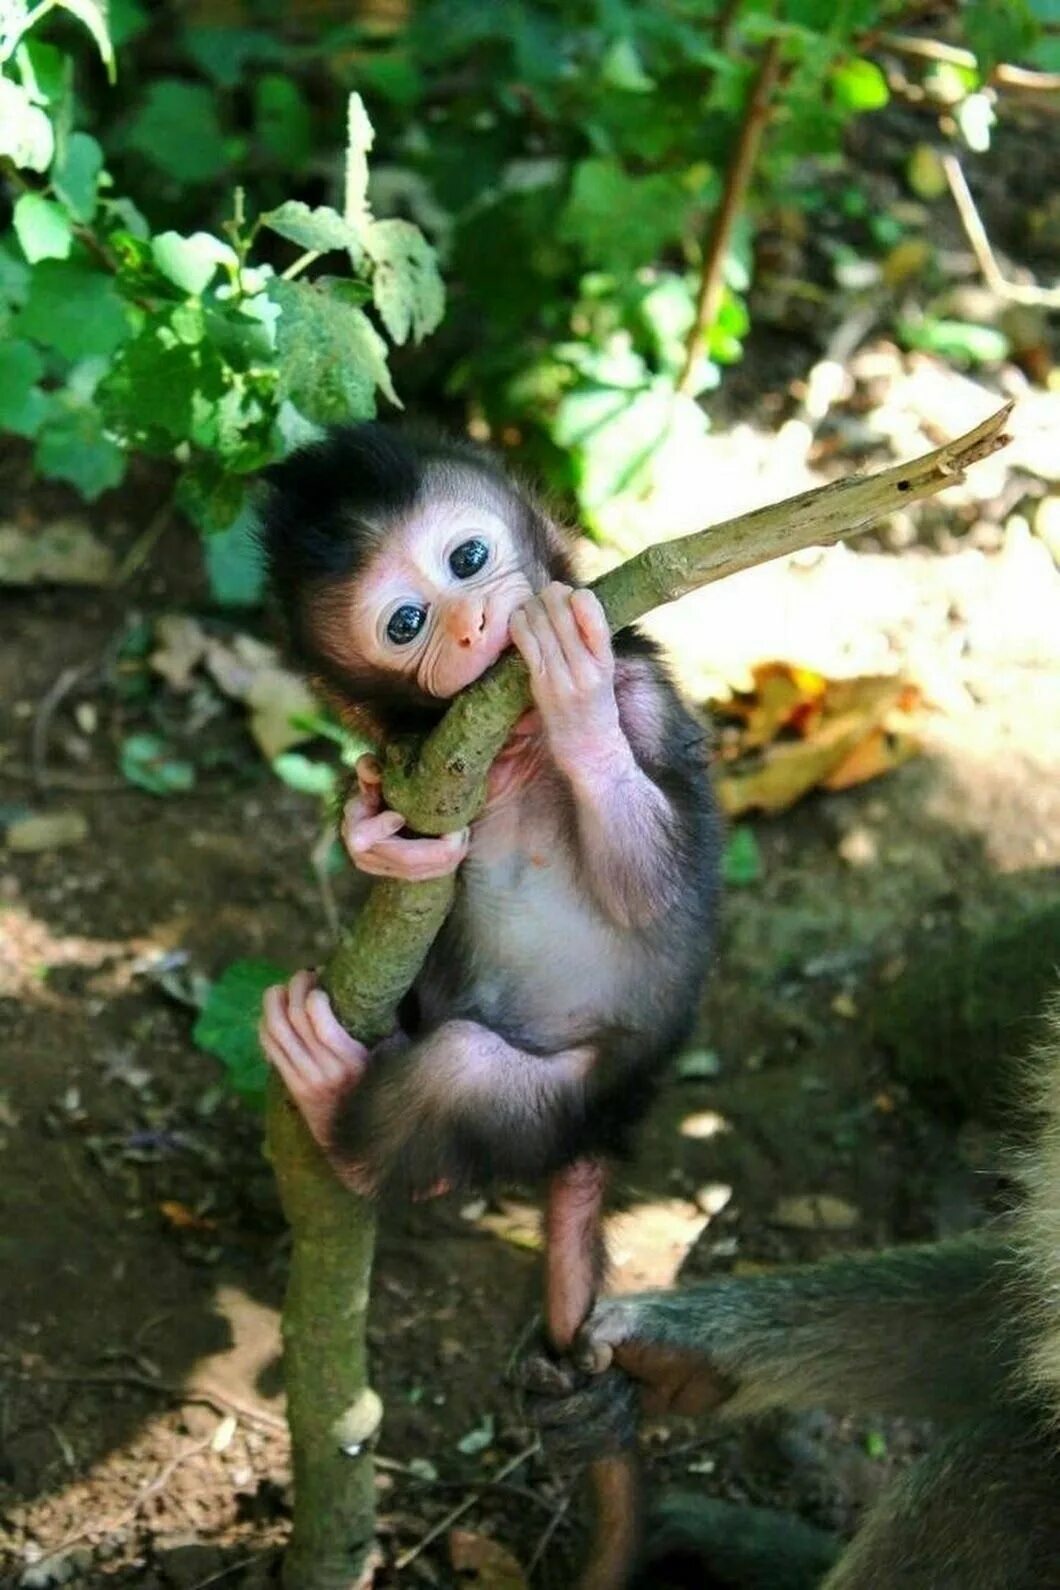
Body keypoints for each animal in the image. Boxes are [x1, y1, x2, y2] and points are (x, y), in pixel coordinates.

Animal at [257, 429, 721, 1348]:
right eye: (406, 622)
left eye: (468, 559)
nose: (471, 620)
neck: (513, 735)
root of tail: (611, 1123)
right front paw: (372, 836)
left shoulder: (646, 698)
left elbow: (656, 895)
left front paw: (577, 697)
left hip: (566, 1099)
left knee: (457, 1078)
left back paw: (331, 1104)